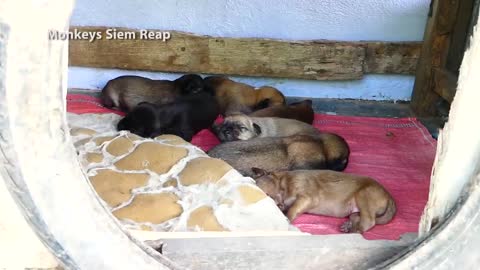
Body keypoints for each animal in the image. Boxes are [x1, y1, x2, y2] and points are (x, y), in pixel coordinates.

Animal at [253, 170, 396, 233]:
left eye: (265, 194)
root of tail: (390, 198)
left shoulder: (307, 197)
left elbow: (292, 210)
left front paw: (286, 218)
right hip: (355, 210)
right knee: (357, 218)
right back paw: (348, 226)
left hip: (364, 195)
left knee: (368, 222)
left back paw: (353, 232)